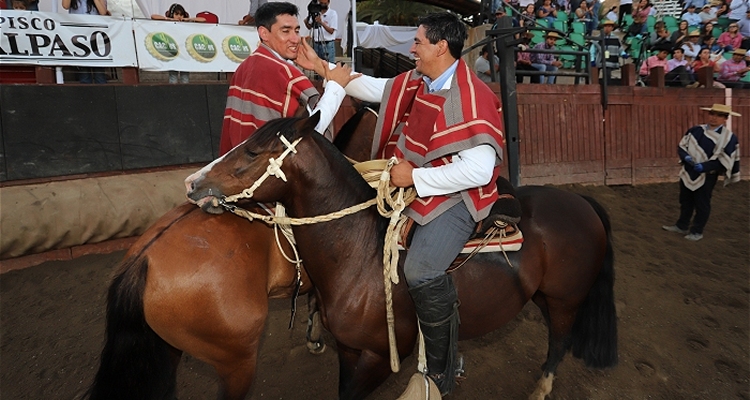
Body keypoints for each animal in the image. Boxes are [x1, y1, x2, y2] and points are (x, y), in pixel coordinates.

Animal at [185, 113, 620, 400]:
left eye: (252, 151)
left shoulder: (379, 357)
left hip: (565, 299)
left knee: (559, 342)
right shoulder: (349, 349)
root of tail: (581, 202)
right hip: (543, 297)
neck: (358, 253)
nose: (193, 183)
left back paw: (540, 389)